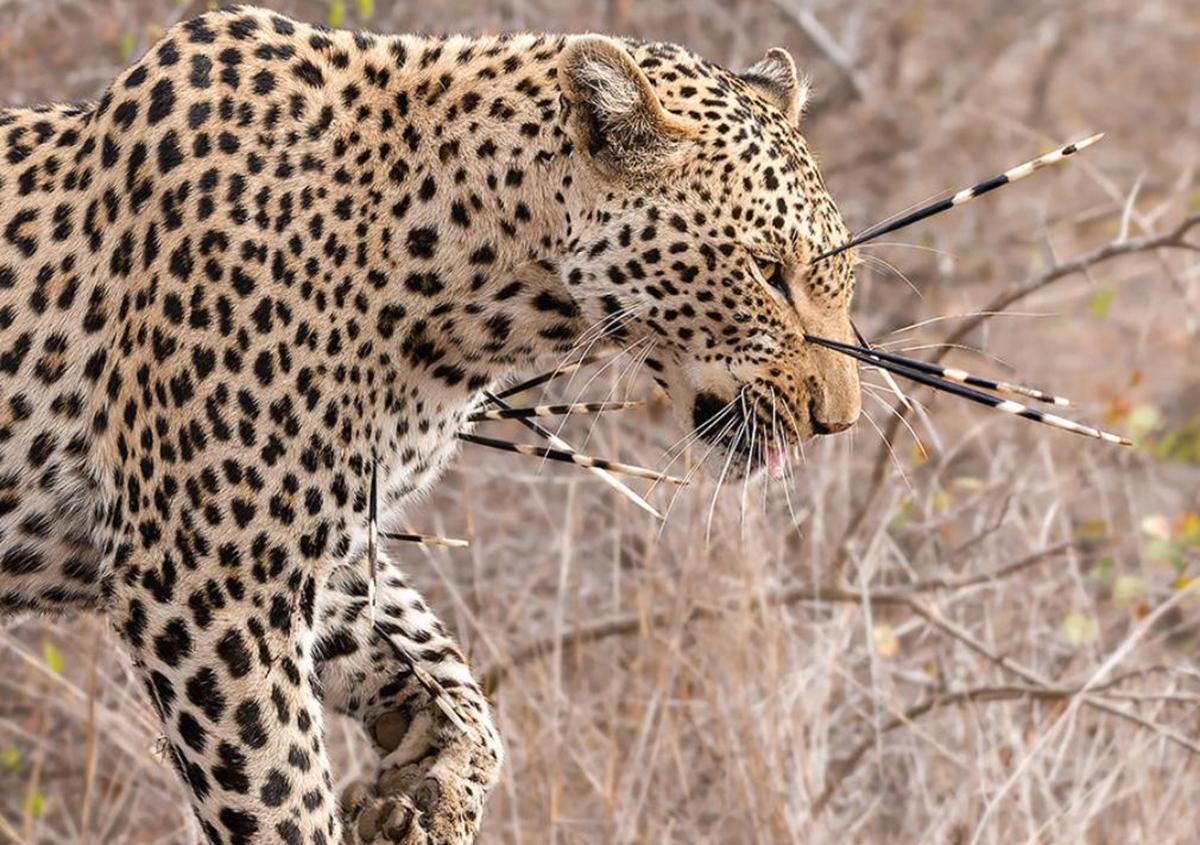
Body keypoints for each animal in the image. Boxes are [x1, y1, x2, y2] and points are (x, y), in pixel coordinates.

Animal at [0, 4, 864, 840]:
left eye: (842, 275)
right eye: (766, 272)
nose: (840, 421)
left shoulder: (326, 545)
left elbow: (445, 671)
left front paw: (426, 786)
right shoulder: (207, 576)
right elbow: (280, 791)